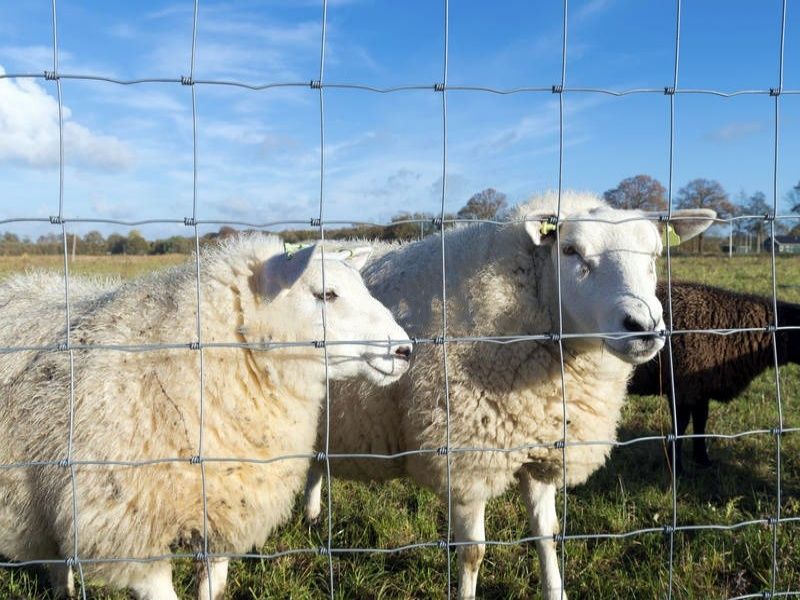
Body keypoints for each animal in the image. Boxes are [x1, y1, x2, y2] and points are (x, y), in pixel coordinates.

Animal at [304, 193, 716, 600]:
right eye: (570, 250)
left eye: (655, 255)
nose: (644, 326)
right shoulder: (466, 459)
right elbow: (472, 552)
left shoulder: (542, 447)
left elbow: (547, 535)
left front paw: (555, 590)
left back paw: (311, 515)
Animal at [628, 282, 796, 474]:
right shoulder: (683, 387)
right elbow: (680, 426)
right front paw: (676, 467)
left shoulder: (701, 387)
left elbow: (701, 422)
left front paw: (703, 460)